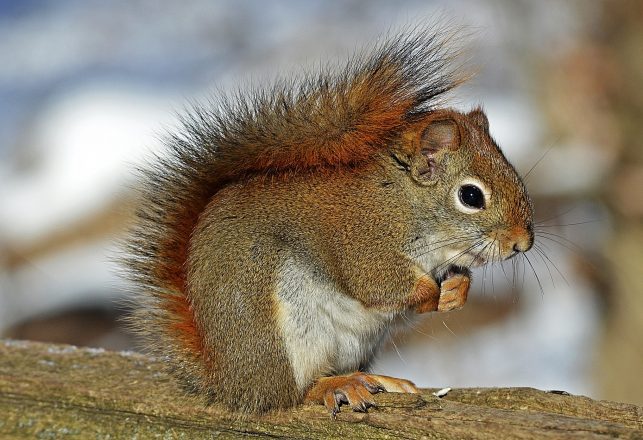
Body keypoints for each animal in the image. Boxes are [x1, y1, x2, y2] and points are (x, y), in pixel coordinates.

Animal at [121, 28, 532, 416]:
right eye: (471, 196)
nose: (522, 243)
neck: (403, 202)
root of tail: (228, 382)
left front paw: (457, 289)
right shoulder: (363, 240)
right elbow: (378, 284)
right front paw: (432, 292)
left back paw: (377, 380)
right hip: (282, 335)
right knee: (293, 393)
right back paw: (336, 386)